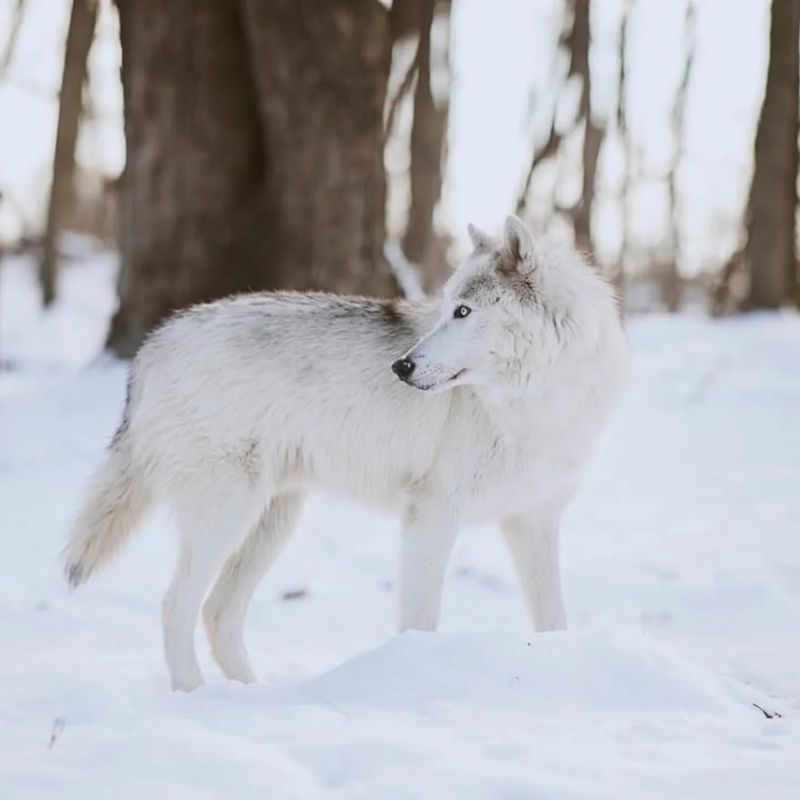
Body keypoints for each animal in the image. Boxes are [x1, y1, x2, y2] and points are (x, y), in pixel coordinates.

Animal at [64, 216, 624, 692]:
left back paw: (251, 694)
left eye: (463, 312)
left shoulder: (535, 522)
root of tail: (155, 343)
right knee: (175, 607)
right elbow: (421, 620)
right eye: (445, 309)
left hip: (274, 521)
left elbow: (554, 620)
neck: (533, 402)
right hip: (226, 516)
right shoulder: (431, 517)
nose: (400, 366)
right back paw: (196, 697)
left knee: (218, 612)